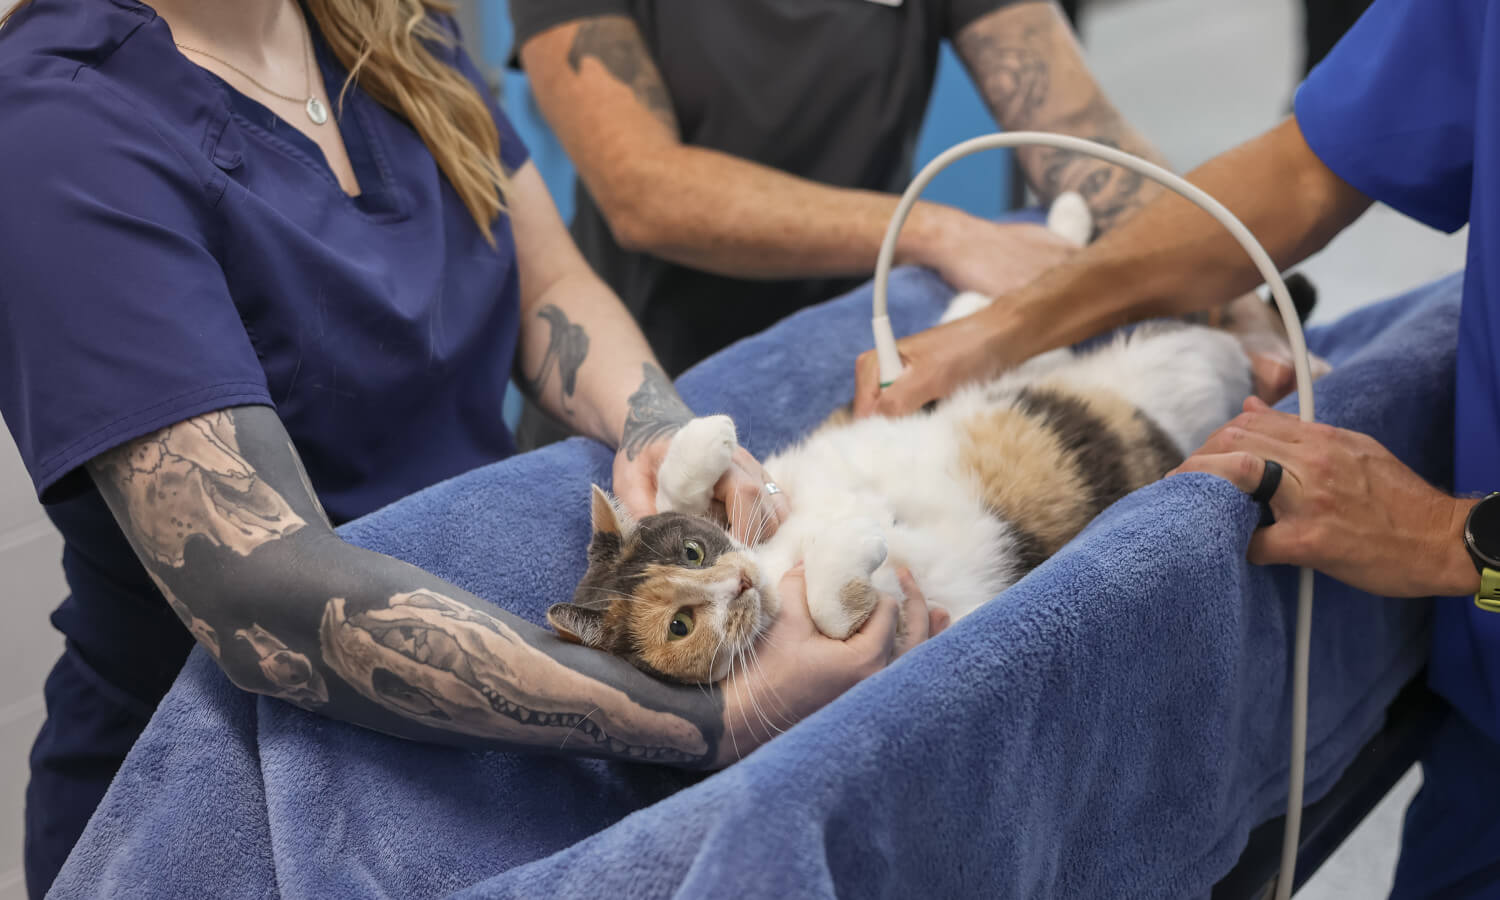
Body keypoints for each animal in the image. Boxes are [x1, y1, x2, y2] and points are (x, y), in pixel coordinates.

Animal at [546, 288, 1296, 681]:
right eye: (680, 624)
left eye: (693, 553)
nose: (737, 583)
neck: (772, 561)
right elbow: (831, 605)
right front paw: (851, 540)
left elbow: (679, 485)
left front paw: (709, 436)